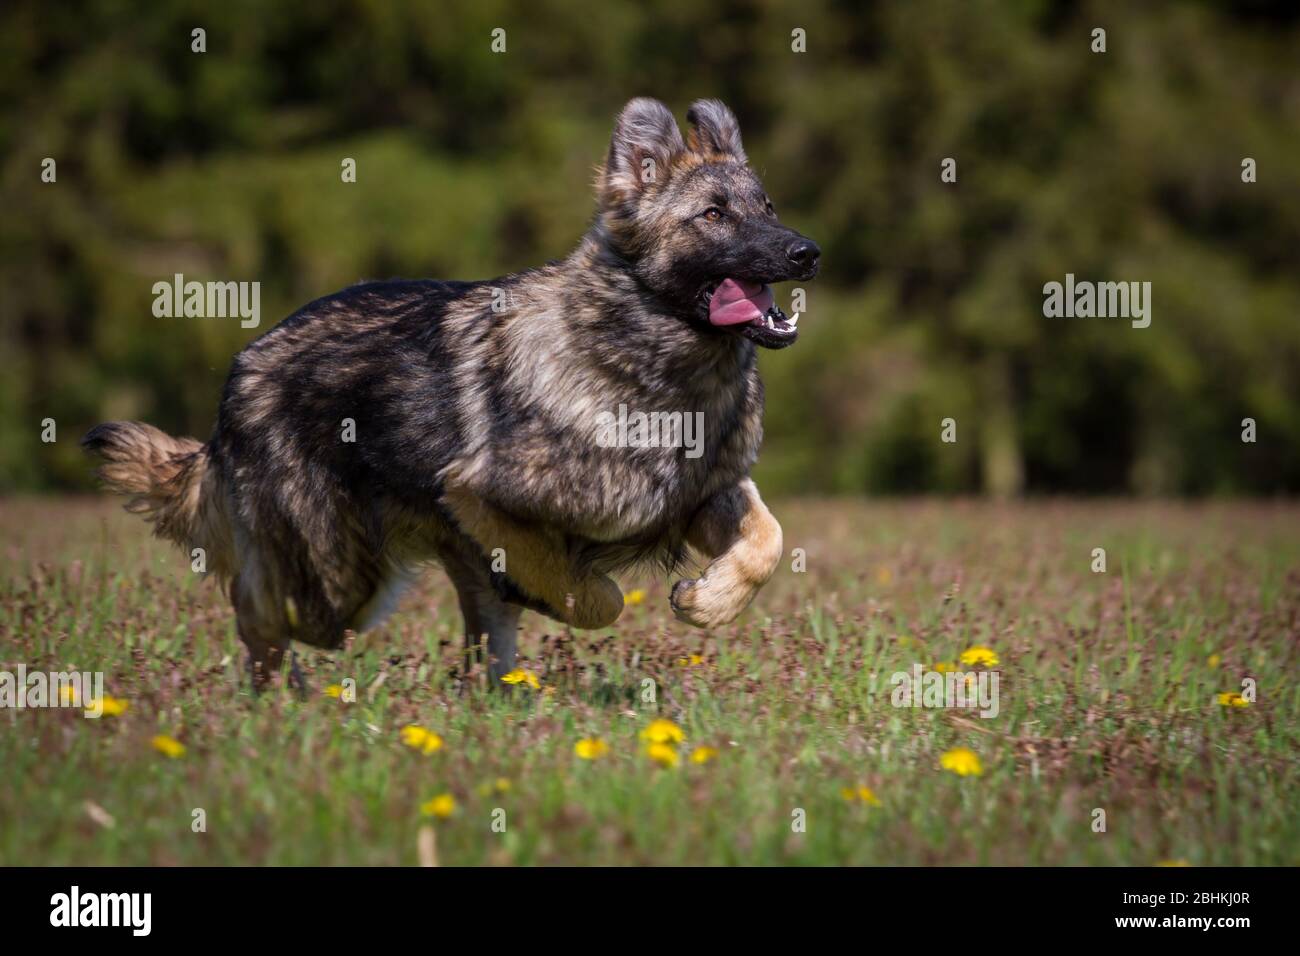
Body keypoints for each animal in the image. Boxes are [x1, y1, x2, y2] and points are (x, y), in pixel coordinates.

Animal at [83, 98, 821, 686]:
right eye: (715, 214)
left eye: (768, 207)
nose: (807, 253)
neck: (653, 362)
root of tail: (242, 367)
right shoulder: (475, 492)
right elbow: (592, 595)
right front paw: (578, 596)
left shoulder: (704, 496)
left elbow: (768, 538)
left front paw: (708, 602)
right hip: (337, 584)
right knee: (252, 601)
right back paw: (274, 694)